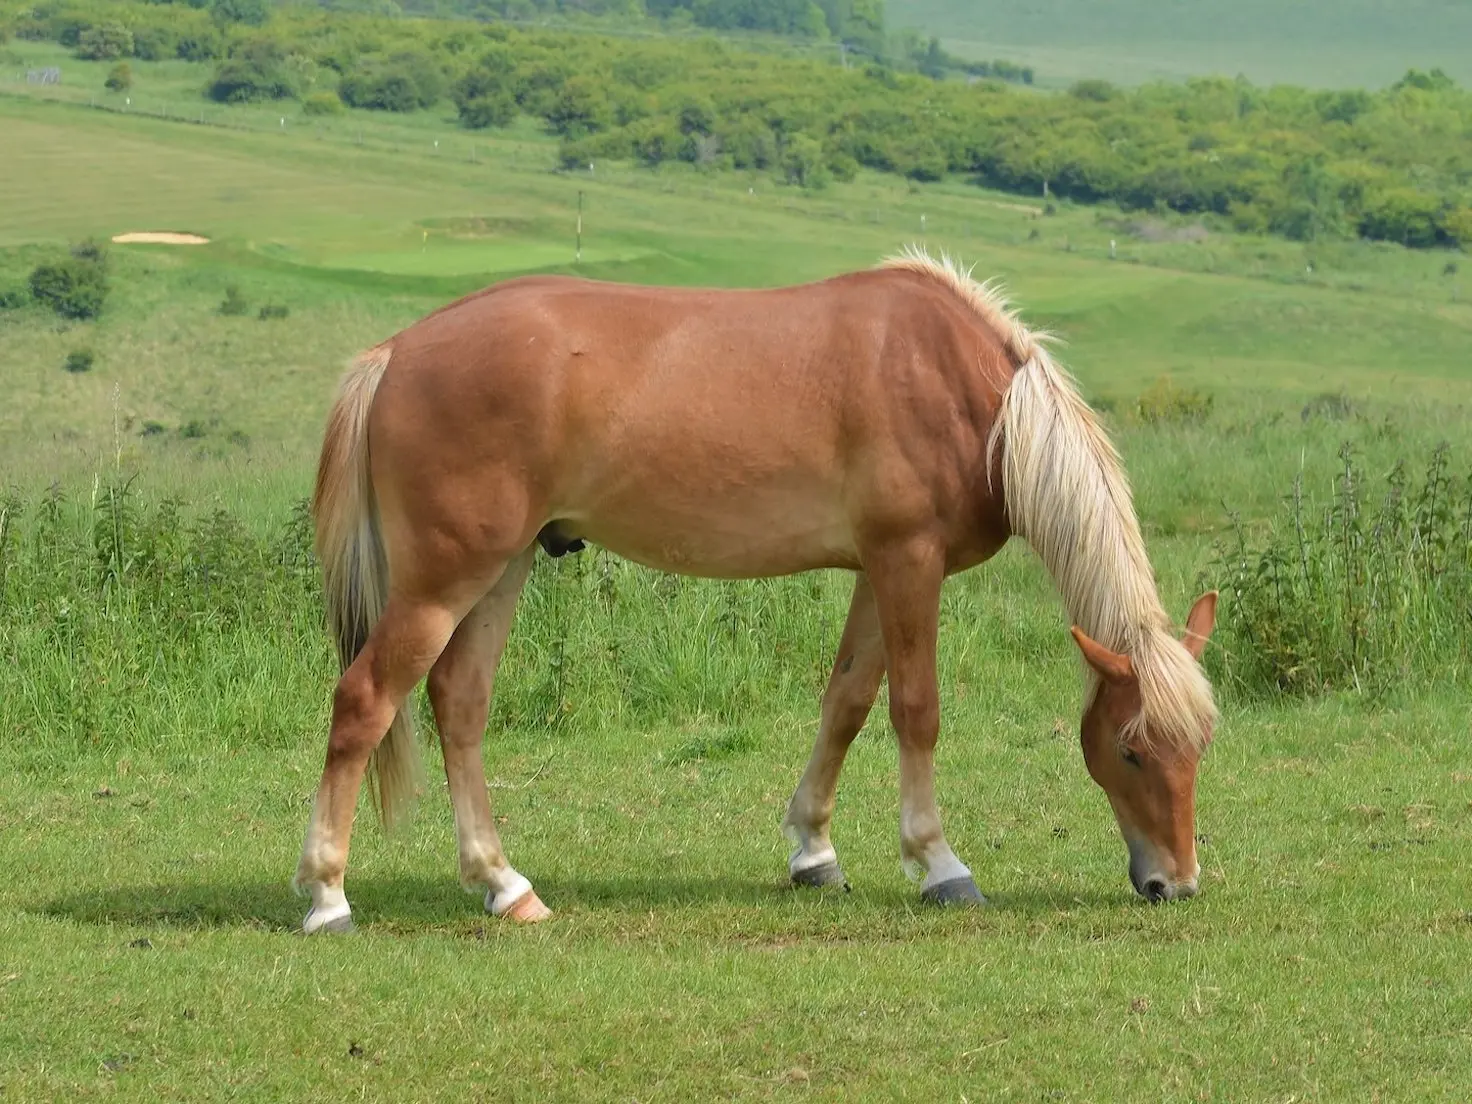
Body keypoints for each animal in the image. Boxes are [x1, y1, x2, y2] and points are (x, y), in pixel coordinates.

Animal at [287, 248, 1218, 936]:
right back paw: (329, 896)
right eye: (1130, 750)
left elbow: (847, 702)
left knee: (461, 703)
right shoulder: (909, 562)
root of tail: (396, 353)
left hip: (501, 568)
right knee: (364, 701)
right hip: (446, 580)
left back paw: (504, 884)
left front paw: (814, 852)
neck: (964, 391)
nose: (1174, 884)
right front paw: (939, 864)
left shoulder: (878, 569)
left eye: (1199, 747)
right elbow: (915, 710)